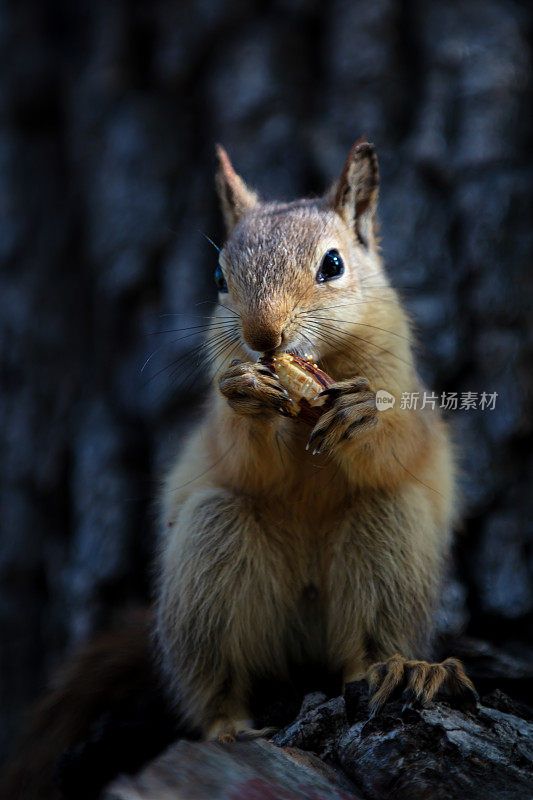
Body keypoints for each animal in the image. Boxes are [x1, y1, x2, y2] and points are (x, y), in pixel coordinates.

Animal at [156, 139, 476, 744]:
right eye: (218, 276)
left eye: (334, 264)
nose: (263, 337)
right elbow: (247, 456)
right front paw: (248, 393)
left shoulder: (403, 385)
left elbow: (395, 445)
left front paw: (363, 412)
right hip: (211, 551)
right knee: (216, 673)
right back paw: (228, 724)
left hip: (389, 535)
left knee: (367, 642)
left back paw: (400, 669)